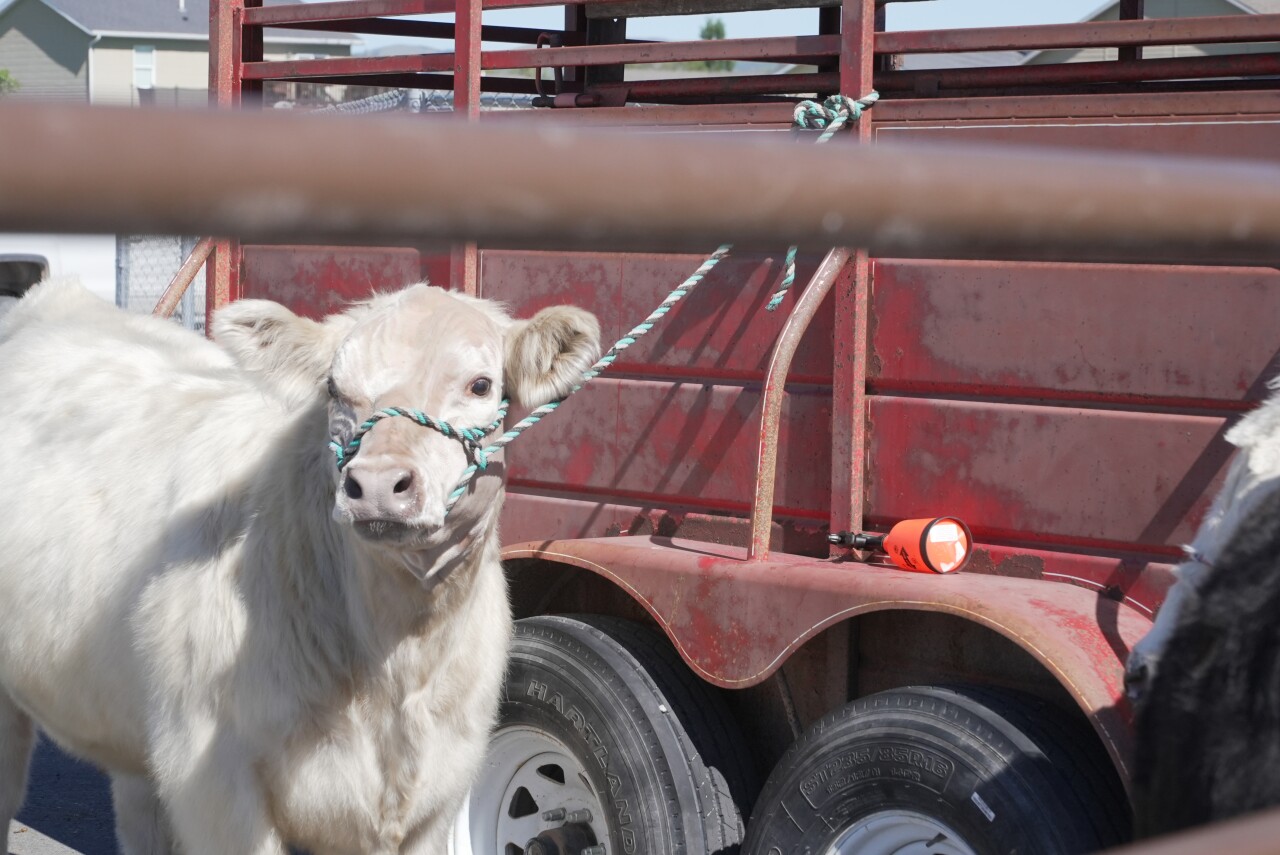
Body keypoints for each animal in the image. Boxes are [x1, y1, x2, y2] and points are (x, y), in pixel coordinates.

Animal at [0, 278, 600, 855]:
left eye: (480, 385)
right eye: (334, 389)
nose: (377, 485)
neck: (398, 657)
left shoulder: (439, 790)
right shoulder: (214, 785)